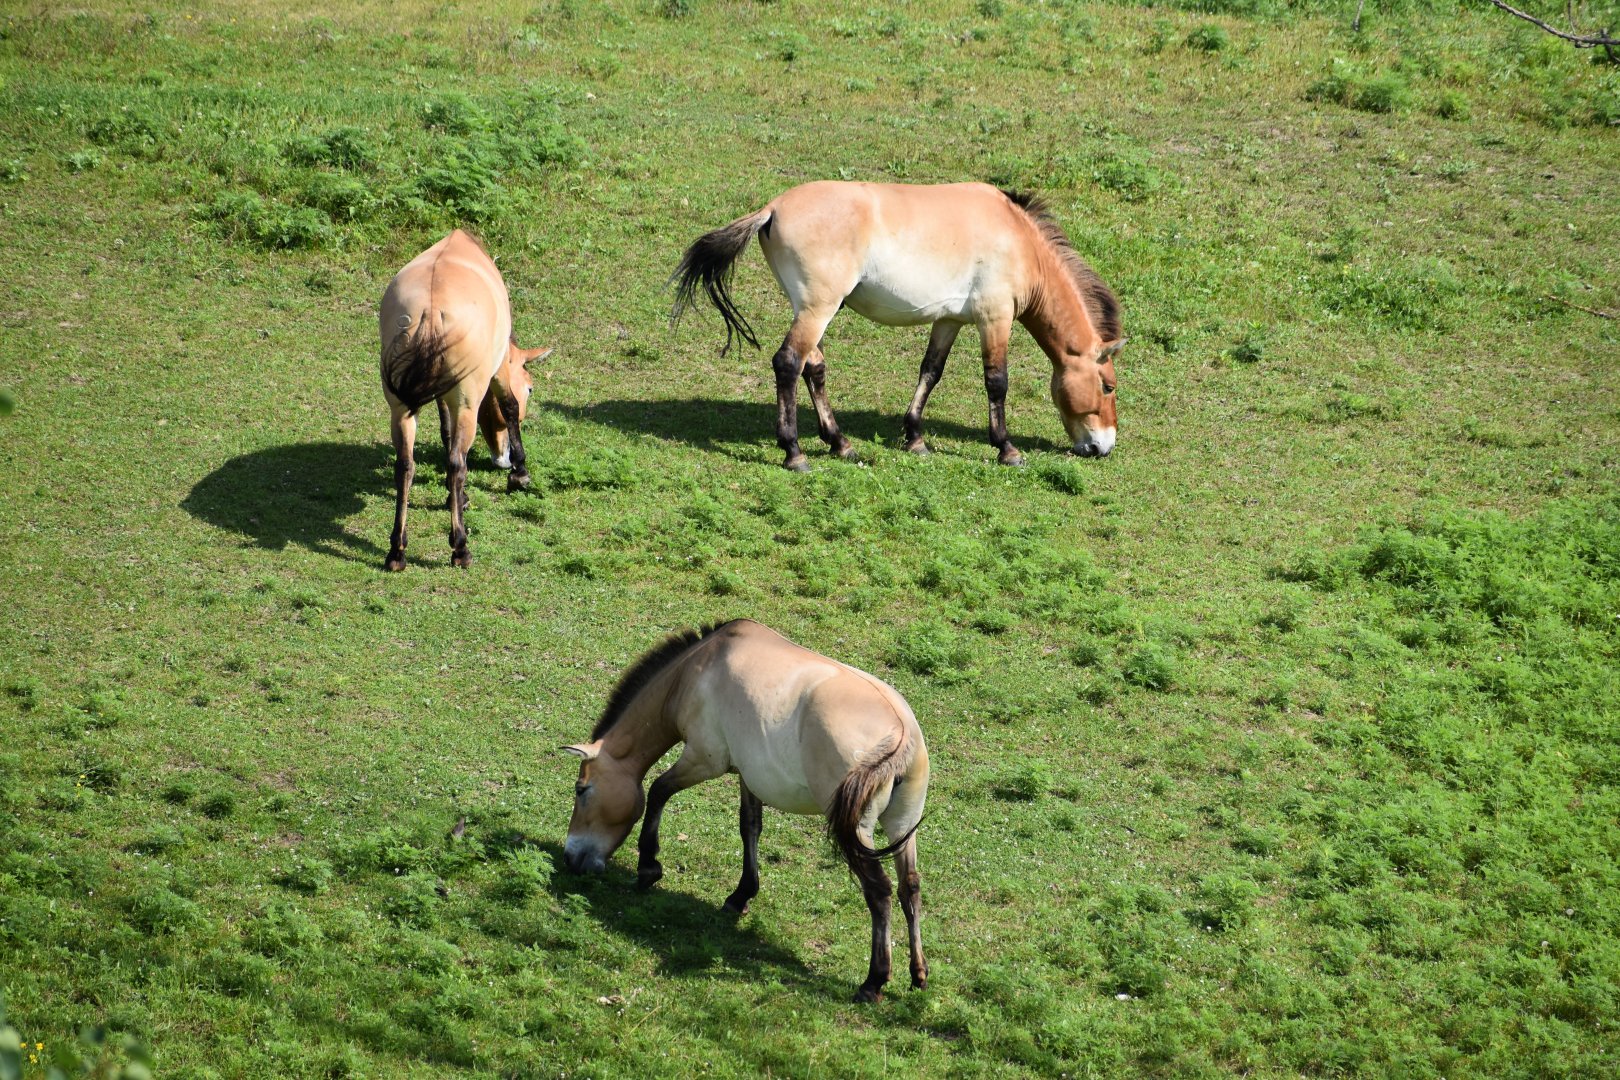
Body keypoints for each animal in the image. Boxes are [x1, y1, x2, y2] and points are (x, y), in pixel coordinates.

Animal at [379, 230, 551, 571]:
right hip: (468, 404)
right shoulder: (498, 368)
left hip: (401, 409)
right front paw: (520, 472)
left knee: (405, 466)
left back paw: (397, 551)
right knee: (457, 463)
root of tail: (430, 311)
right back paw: (460, 548)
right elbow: (509, 406)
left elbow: (445, 432)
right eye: (530, 389)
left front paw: (455, 497)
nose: (501, 459)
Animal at [560, 619, 930, 1003]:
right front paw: (740, 896)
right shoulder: (748, 776)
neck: (695, 669)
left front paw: (649, 867)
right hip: (903, 828)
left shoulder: (704, 760)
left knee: (879, 892)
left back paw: (874, 981)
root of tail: (901, 733)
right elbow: (749, 826)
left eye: (581, 790)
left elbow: (657, 791)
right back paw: (918, 974)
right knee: (909, 887)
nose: (570, 857)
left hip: (858, 833)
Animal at [671, 181, 1125, 472]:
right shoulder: (994, 318)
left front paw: (915, 438)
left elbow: (931, 372)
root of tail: (773, 208)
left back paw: (841, 444)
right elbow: (997, 382)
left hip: (811, 309)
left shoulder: (948, 320)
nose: (1103, 446)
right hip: (818, 309)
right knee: (788, 363)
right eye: (1107, 386)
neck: (1019, 239)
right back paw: (794, 453)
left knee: (813, 367)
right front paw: (1007, 450)